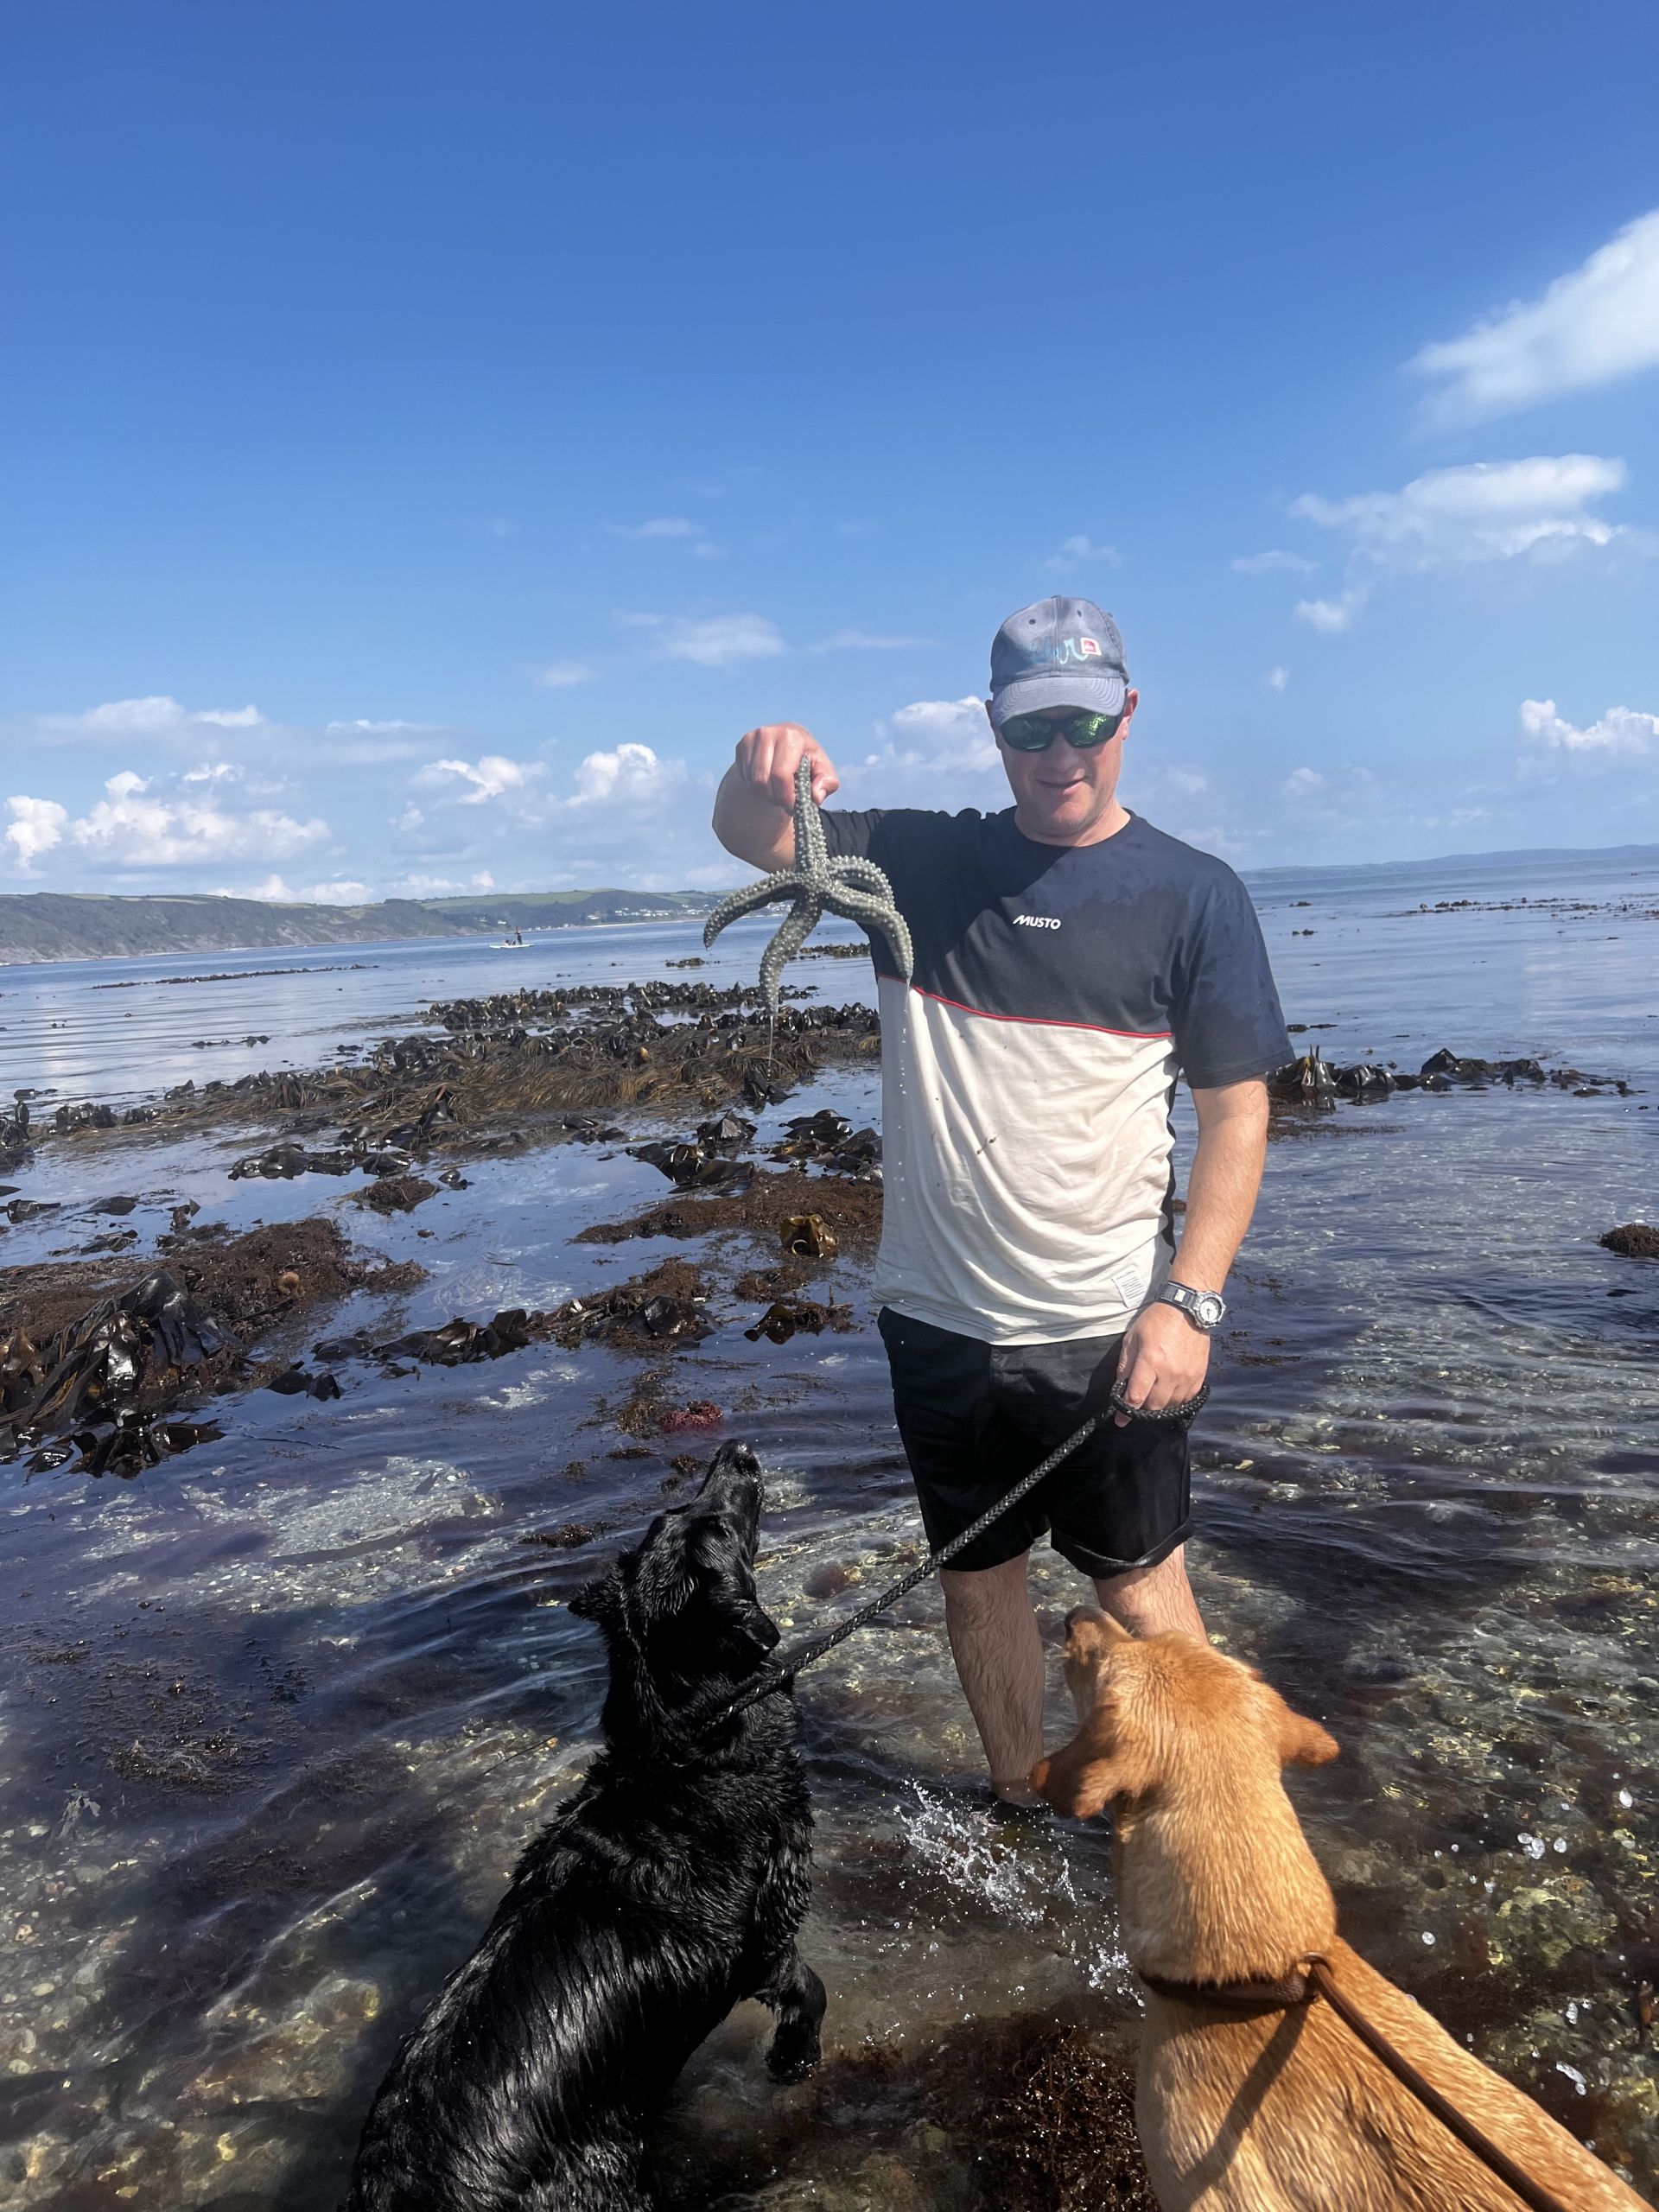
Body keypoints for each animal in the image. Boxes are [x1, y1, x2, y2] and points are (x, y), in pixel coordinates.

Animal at [345, 1442, 827, 2202]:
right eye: (719, 1525)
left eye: (676, 1510)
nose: (738, 1452)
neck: (687, 1750)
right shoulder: (767, 1939)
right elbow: (811, 1991)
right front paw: (793, 2058)